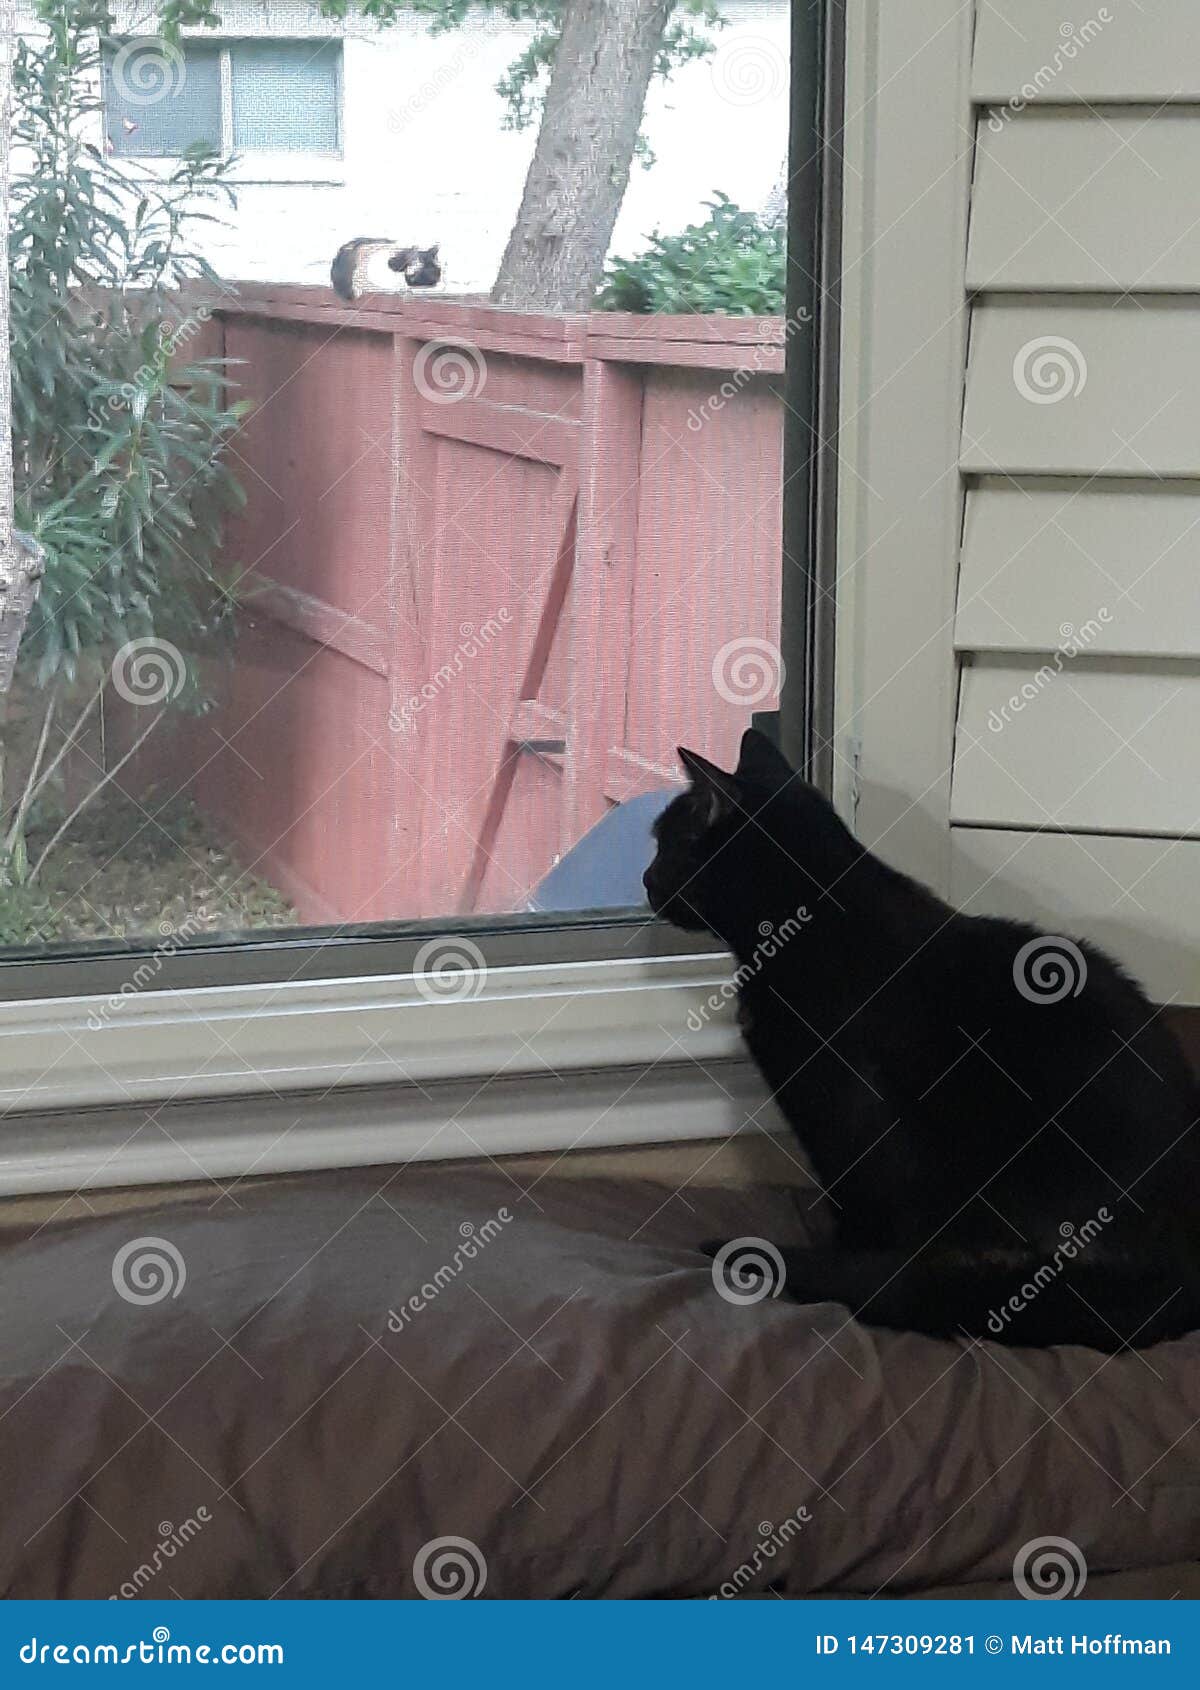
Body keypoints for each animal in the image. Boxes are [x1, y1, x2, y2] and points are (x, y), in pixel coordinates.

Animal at [649, 726, 1200, 1345]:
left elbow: (863, 1198)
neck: (811, 919)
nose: (645, 880)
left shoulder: (849, 1111)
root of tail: (1180, 1279)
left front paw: (848, 1261)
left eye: (668, 844)